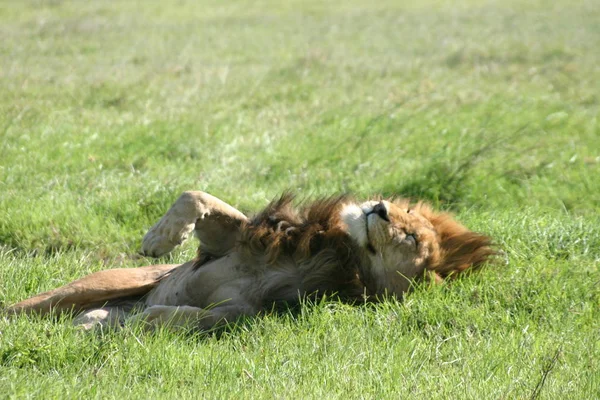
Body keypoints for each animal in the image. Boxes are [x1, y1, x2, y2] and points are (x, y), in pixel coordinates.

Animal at [4, 192, 494, 330]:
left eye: (410, 237)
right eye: (406, 210)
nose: (381, 209)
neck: (343, 253)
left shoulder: (251, 311)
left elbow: (207, 314)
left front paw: (157, 317)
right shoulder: (232, 242)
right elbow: (196, 196)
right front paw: (160, 237)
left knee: (94, 317)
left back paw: (101, 323)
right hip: (90, 287)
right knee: (21, 311)